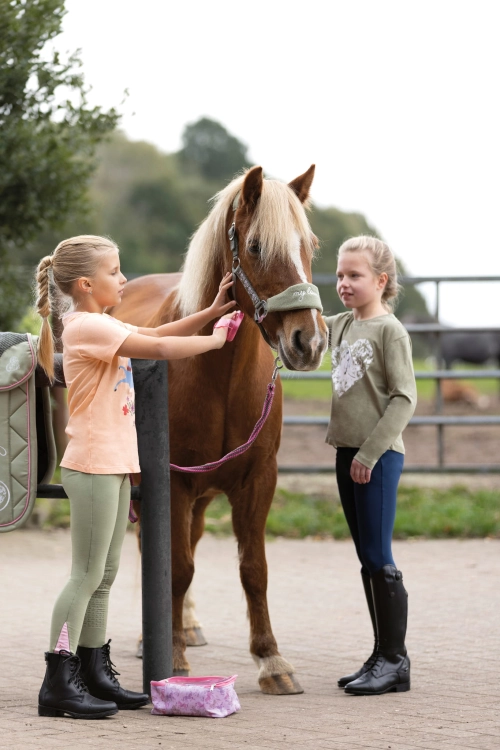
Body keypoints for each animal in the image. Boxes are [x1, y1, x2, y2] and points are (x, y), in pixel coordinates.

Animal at [112, 165, 328, 695]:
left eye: (310, 245)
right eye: (255, 246)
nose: (309, 342)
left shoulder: (257, 481)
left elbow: (253, 569)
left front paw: (272, 660)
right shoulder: (173, 482)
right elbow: (176, 568)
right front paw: (173, 657)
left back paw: (184, 627)